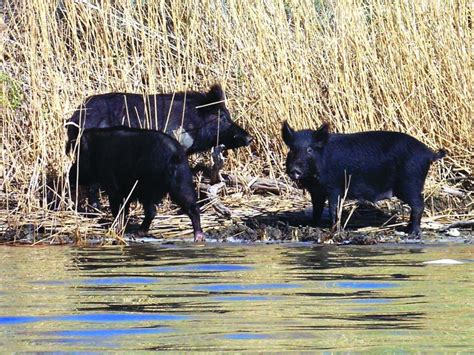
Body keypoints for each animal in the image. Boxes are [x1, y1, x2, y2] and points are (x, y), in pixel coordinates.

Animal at [67, 84, 254, 209]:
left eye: (228, 115)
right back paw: (96, 209)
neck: (192, 123)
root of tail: (75, 118)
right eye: (222, 117)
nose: (250, 138)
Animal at [69, 126, 206, 242]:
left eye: (79, 155)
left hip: (147, 186)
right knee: (192, 206)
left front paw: (118, 228)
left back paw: (138, 232)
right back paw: (199, 237)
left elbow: (118, 208)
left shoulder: (113, 185)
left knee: (152, 211)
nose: (70, 174)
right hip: (182, 182)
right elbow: (124, 207)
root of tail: (174, 156)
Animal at [284, 121, 446, 238]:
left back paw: (413, 233)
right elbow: (317, 209)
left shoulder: (335, 187)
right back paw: (407, 229)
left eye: (309, 150)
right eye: (291, 149)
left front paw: (335, 230)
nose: (295, 170)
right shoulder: (316, 191)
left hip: (410, 183)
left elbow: (334, 209)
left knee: (419, 205)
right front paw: (312, 225)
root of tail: (429, 153)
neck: (314, 178)